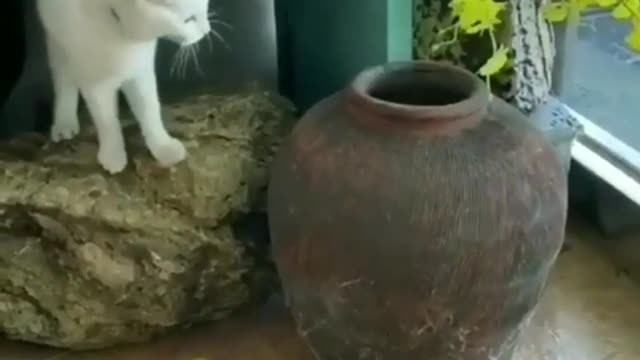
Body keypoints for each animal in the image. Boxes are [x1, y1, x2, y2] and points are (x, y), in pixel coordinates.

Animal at [37, 0, 211, 173]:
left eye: (205, 7)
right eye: (189, 19)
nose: (207, 31)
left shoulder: (141, 70)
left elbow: (150, 110)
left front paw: (162, 146)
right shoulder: (95, 82)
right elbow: (107, 121)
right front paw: (112, 153)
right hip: (58, 42)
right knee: (64, 78)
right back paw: (64, 121)